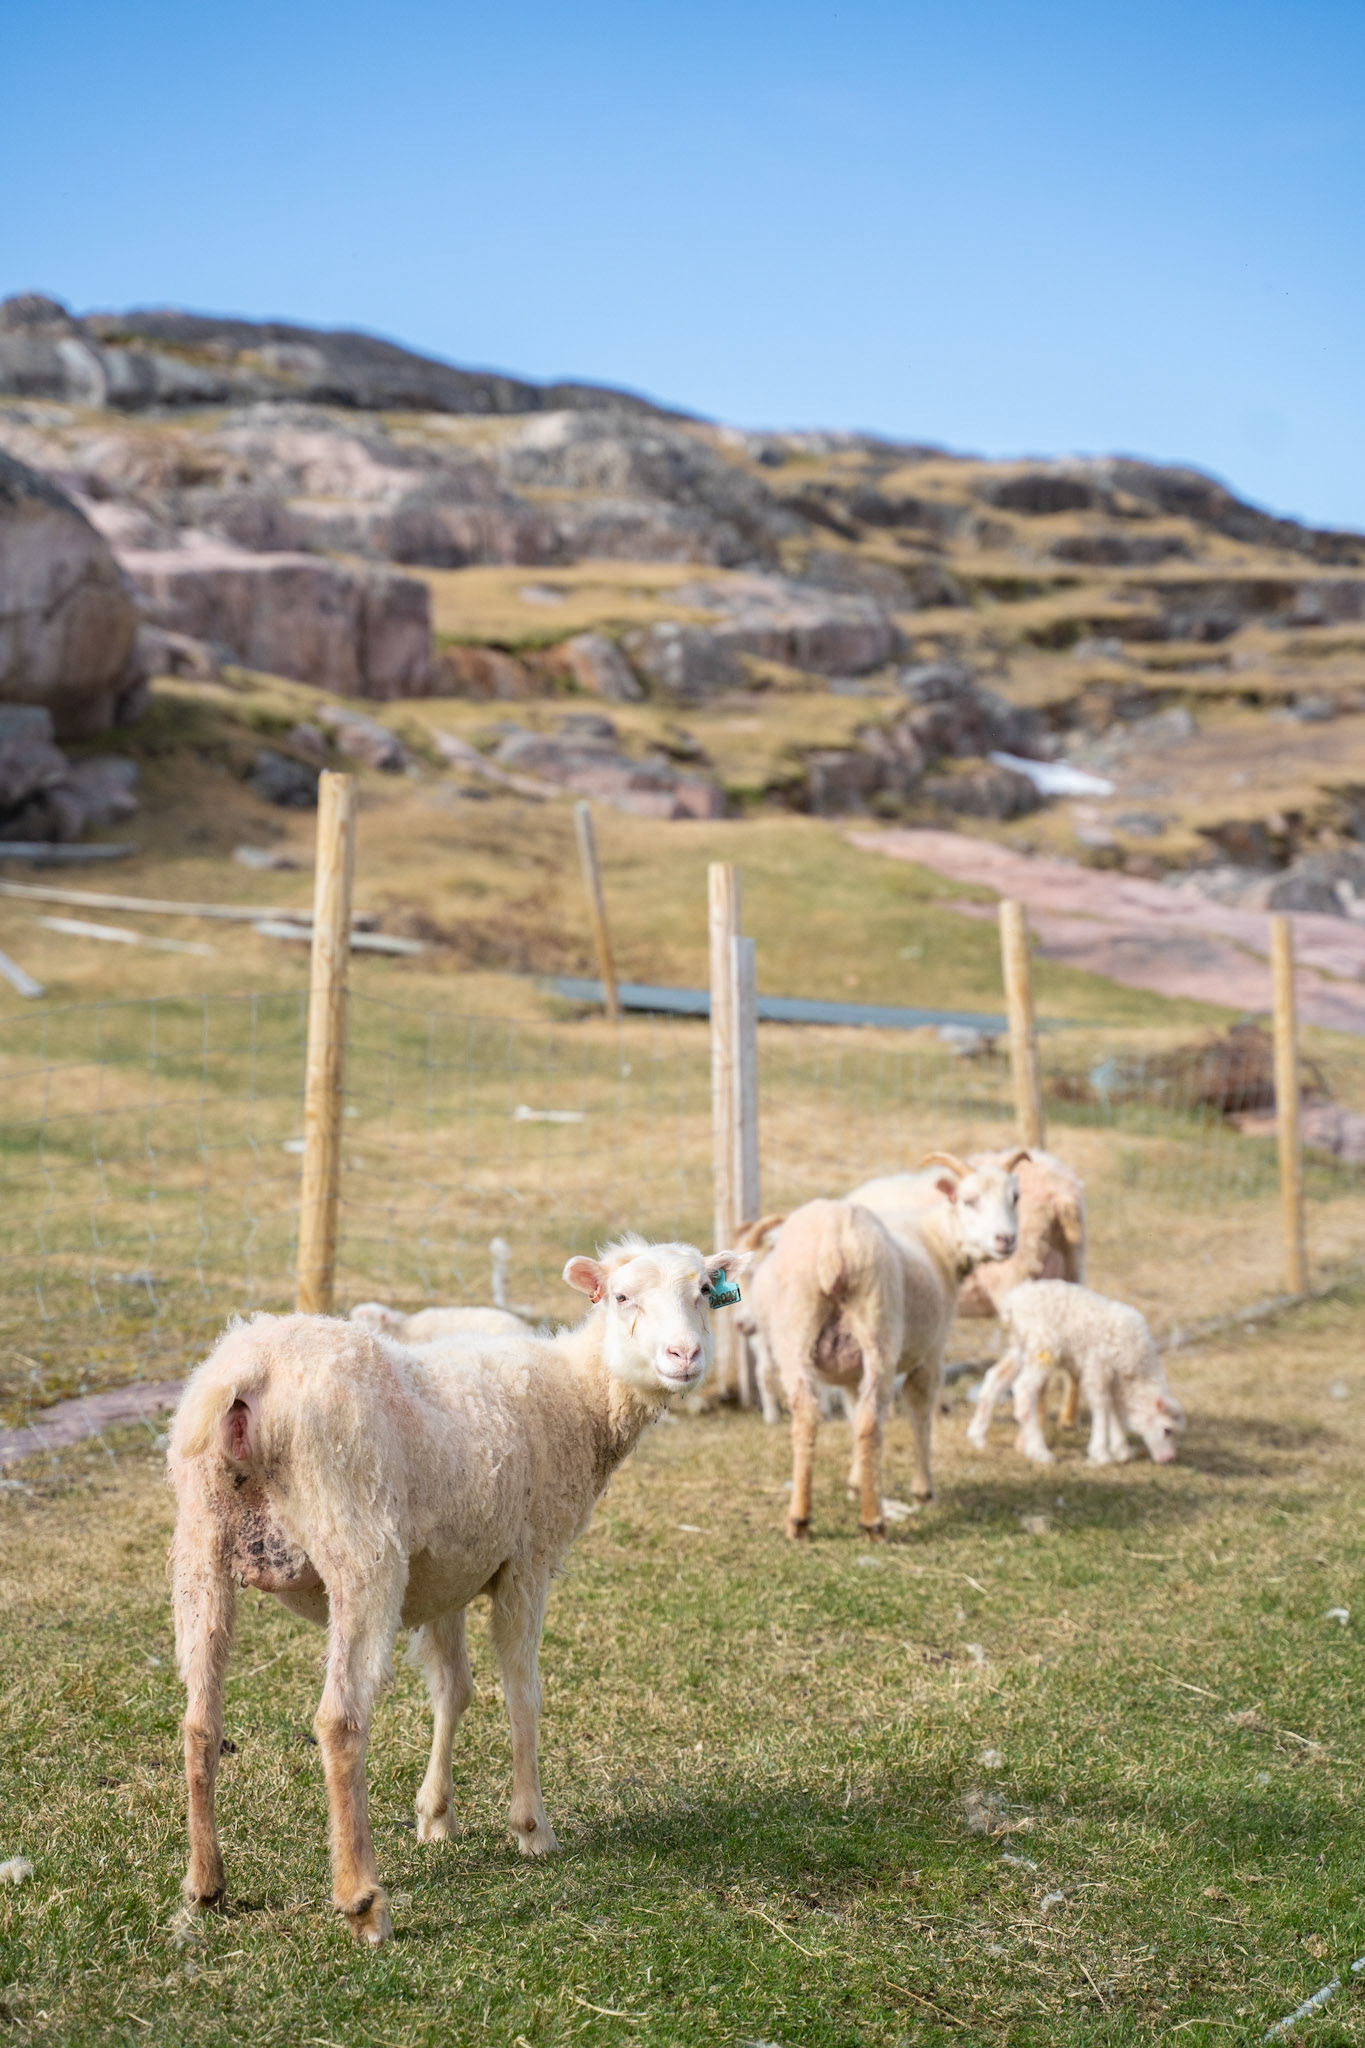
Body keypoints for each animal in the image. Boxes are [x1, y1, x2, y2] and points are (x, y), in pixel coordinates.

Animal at [168, 1233, 751, 1946]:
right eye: (621, 1296)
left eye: (704, 1292)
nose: (684, 1357)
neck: (581, 1399)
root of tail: (249, 1372)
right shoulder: (528, 1560)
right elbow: (522, 1693)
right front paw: (532, 1827)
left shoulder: (444, 1573)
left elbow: (454, 1689)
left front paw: (436, 1817)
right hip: (360, 1547)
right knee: (339, 1721)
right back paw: (362, 1901)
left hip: (200, 1545)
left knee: (201, 1720)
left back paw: (205, 1884)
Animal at [752, 1153, 1022, 1539]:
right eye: (969, 1200)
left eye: (1015, 1197)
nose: (1006, 1240)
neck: (938, 1240)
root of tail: (834, 1239)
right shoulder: (931, 1352)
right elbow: (919, 1411)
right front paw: (923, 1490)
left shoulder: (851, 1370)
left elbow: (851, 1413)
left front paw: (854, 1482)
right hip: (877, 1325)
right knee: (870, 1421)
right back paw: (873, 1520)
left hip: (796, 1329)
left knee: (807, 1413)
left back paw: (799, 1519)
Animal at [966, 1278, 1185, 1466]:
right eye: (1167, 1430)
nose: (1169, 1459)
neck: (1136, 1372)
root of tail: (1013, 1302)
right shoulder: (1099, 1365)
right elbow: (1102, 1404)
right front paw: (1101, 1453)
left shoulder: (1113, 1377)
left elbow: (1113, 1407)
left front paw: (1121, 1450)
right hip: (1044, 1344)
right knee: (1024, 1389)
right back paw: (1039, 1451)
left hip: (1021, 1346)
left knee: (995, 1378)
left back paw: (977, 1436)